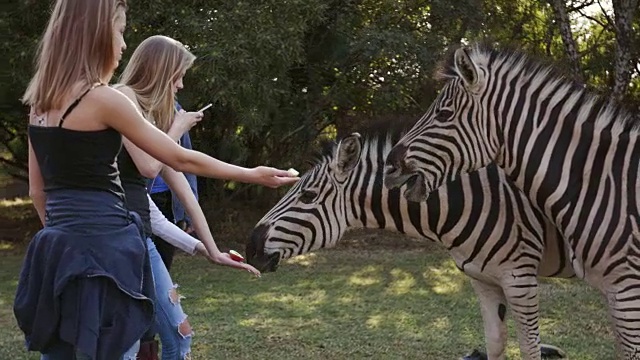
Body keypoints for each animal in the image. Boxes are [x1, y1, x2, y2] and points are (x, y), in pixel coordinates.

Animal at [248, 123, 572, 360]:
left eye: (308, 196)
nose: (250, 249)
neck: (476, 202)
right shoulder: (483, 277)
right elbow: (494, 342)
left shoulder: (520, 278)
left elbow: (530, 348)